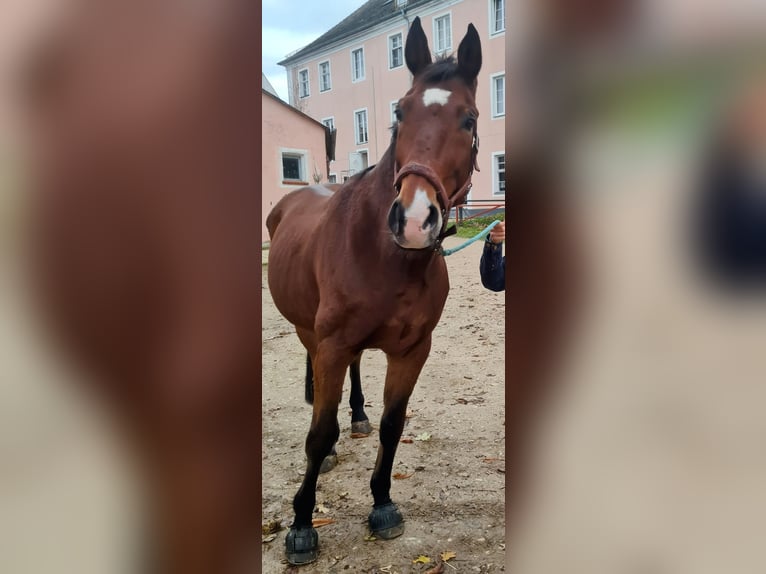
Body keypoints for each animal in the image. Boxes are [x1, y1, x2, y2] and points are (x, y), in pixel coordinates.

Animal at [268, 18, 484, 568]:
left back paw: (359, 415)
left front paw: (383, 503)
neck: (386, 256)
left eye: (469, 119)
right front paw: (301, 526)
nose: (413, 219)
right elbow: (319, 432)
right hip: (308, 329)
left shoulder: (412, 350)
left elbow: (393, 425)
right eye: (400, 112)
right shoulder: (332, 344)